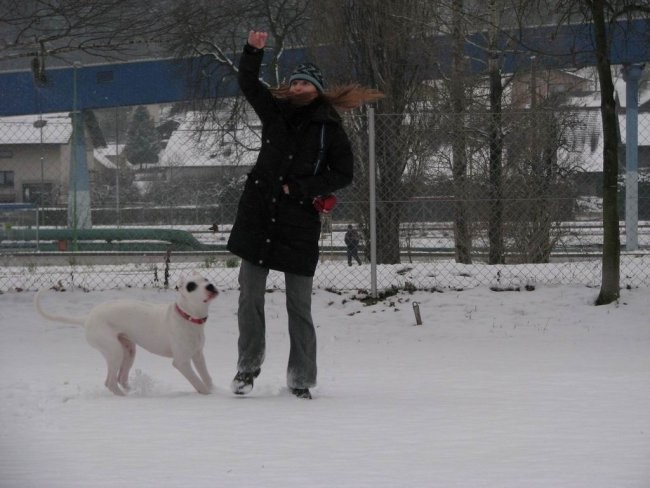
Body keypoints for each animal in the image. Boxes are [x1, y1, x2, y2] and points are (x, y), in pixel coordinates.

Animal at [34, 276, 218, 394]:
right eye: (191, 286)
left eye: (206, 279)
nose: (210, 286)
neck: (187, 316)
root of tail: (87, 318)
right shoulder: (181, 362)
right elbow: (198, 383)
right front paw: (208, 395)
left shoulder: (198, 356)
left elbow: (207, 378)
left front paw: (215, 391)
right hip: (114, 350)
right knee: (110, 382)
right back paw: (125, 398)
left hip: (128, 351)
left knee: (119, 379)